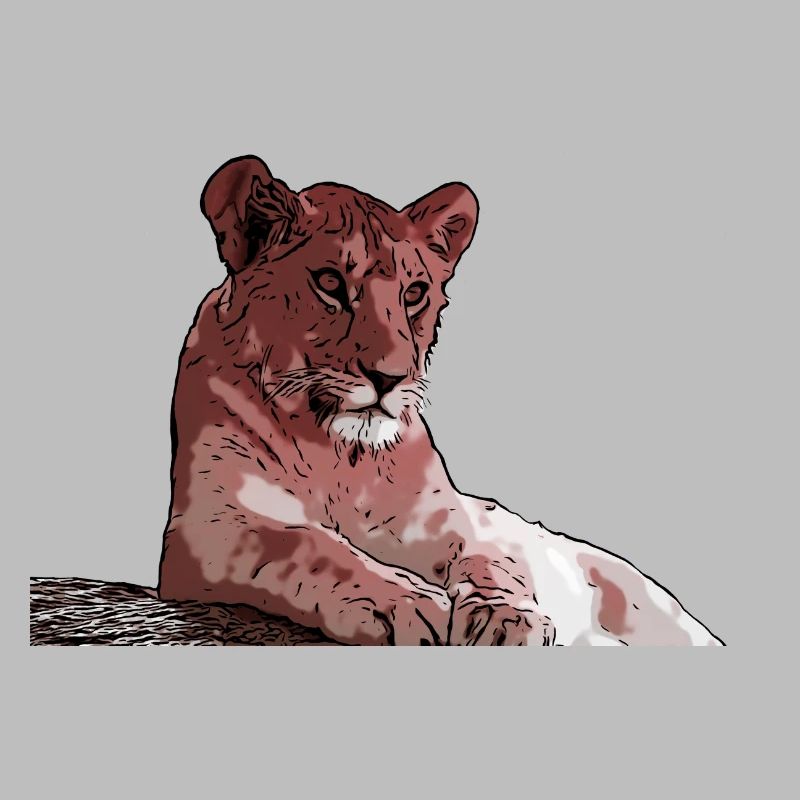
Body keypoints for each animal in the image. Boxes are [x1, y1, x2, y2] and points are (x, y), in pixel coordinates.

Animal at [157, 155, 723, 646]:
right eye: (330, 283)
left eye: (414, 294)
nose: (389, 378)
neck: (339, 458)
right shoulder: (212, 525)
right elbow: (307, 544)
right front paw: (406, 604)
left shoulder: (452, 518)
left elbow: (492, 560)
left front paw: (507, 618)